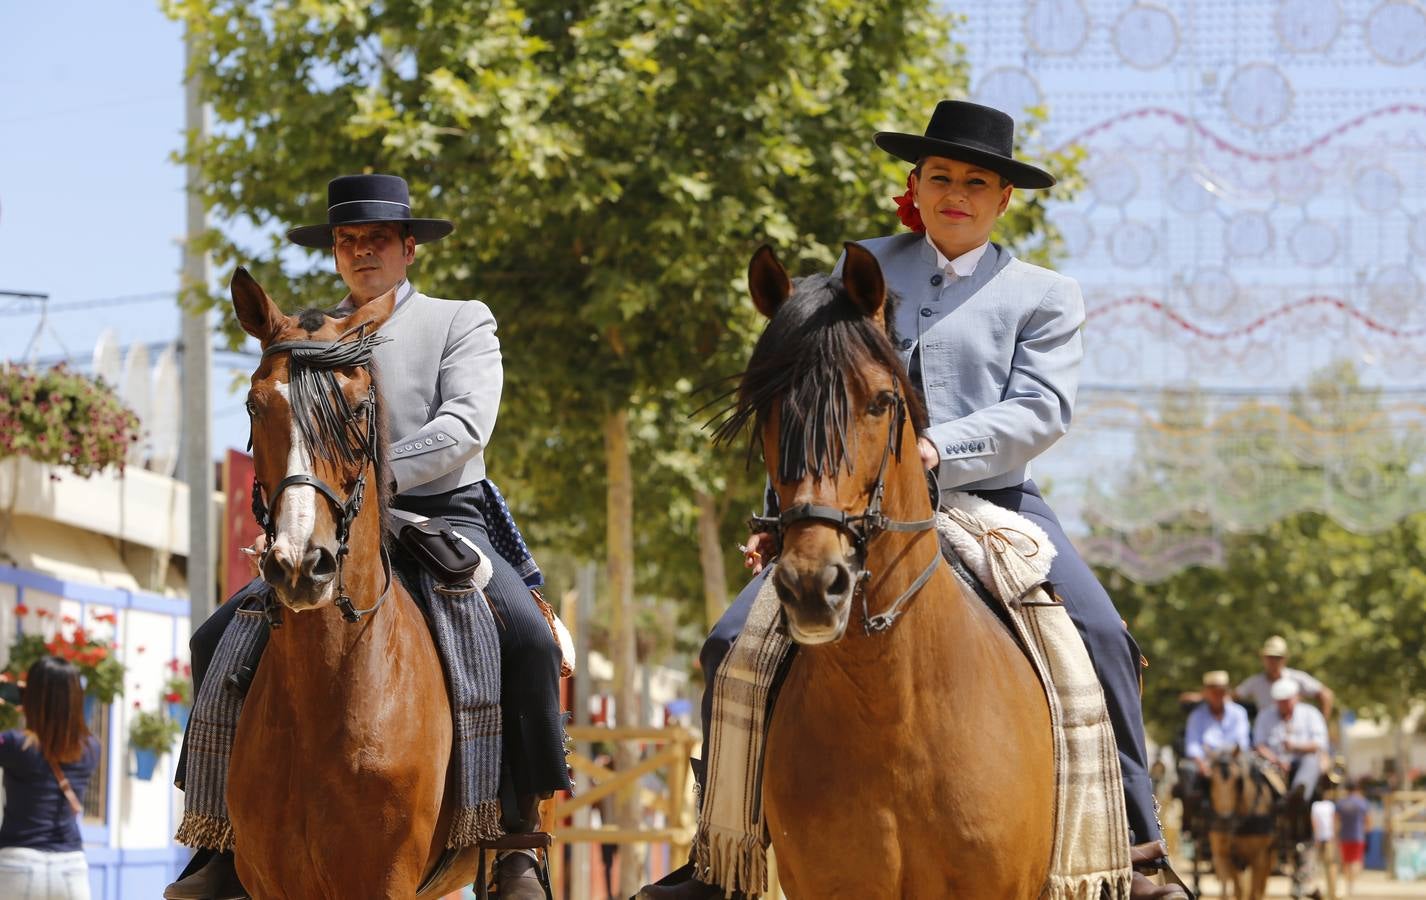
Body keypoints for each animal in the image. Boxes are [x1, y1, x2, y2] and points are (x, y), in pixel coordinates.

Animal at [1203, 747, 1271, 900]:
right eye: (1210, 779)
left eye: (1238, 780)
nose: (1224, 820)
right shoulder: (1227, 856)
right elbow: (1236, 889)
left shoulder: (1257, 857)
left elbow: (1252, 892)